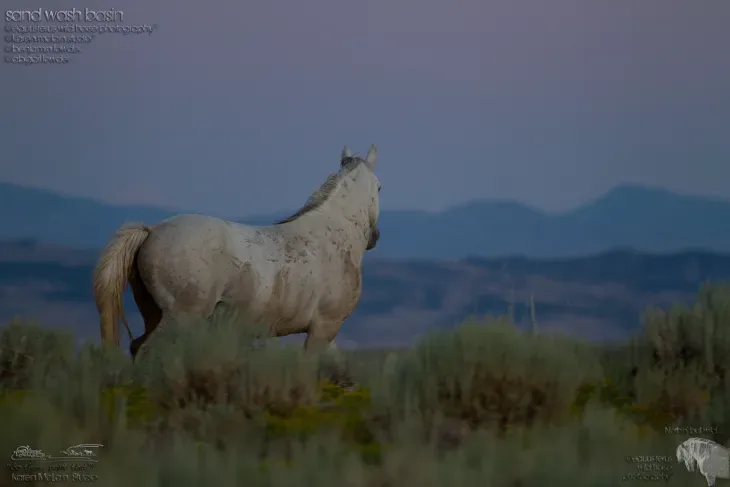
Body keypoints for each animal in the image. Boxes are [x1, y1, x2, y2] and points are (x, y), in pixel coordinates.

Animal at [93, 144, 382, 358]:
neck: (334, 233)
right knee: (147, 351)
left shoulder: (326, 331)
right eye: (380, 186)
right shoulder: (324, 326)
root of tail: (151, 231)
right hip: (181, 318)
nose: (375, 237)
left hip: (154, 313)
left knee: (137, 347)